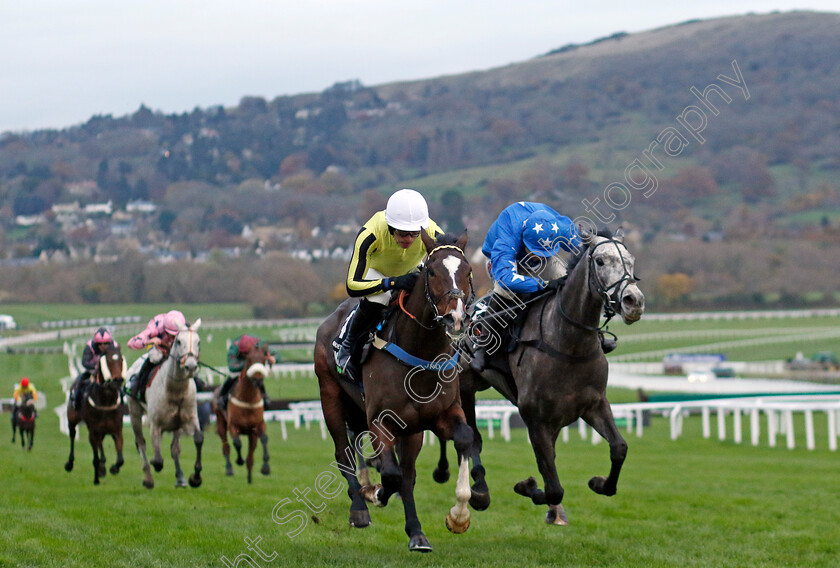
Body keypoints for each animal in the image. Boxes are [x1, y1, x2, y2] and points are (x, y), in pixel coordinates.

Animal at [65, 342, 127, 484]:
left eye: (121, 359)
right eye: (108, 360)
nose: (117, 380)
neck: (106, 401)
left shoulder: (116, 430)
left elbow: (120, 459)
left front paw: (113, 468)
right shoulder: (93, 430)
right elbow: (95, 458)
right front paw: (96, 478)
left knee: (100, 443)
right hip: (72, 420)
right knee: (72, 436)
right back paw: (70, 463)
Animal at [127, 320, 204, 488]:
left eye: (198, 342)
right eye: (179, 341)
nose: (191, 366)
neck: (175, 391)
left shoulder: (188, 418)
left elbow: (197, 439)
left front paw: (195, 478)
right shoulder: (155, 424)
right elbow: (157, 459)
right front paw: (154, 467)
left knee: (174, 448)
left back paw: (180, 477)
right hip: (134, 411)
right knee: (141, 442)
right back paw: (148, 478)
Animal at [213, 342, 276, 484]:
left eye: (263, 360)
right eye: (249, 360)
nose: (258, 380)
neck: (248, 399)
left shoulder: (257, 426)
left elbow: (264, 439)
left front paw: (265, 467)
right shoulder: (233, 425)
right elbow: (237, 443)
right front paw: (239, 460)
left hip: (251, 434)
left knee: (250, 457)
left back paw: (249, 479)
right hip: (220, 422)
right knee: (226, 447)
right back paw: (230, 468)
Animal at [312, 230, 476, 552]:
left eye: (467, 271)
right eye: (431, 271)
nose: (455, 317)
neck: (420, 354)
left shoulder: (441, 414)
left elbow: (463, 440)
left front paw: (459, 517)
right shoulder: (379, 420)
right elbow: (390, 474)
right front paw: (373, 494)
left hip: (411, 430)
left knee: (408, 475)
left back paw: (417, 534)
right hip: (330, 397)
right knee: (344, 453)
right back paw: (359, 509)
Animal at [440, 226, 644, 524]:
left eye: (630, 261)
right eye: (601, 261)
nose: (634, 301)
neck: (569, 345)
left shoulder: (593, 404)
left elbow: (619, 447)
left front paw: (599, 483)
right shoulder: (535, 418)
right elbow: (553, 485)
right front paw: (529, 488)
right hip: (466, 386)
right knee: (473, 438)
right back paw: (479, 492)